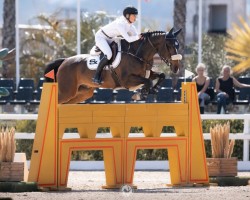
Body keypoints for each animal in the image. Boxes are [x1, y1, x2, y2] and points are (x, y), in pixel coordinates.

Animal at [44, 27, 182, 104]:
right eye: (169, 46)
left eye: (178, 45)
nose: (176, 68)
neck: (138, 54)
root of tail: (64, 61)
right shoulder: (127, 80)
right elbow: (147, 81)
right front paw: (141, 93)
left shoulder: (147, 73)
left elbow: (161, 75)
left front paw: (153, 89)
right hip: (67, 92)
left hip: (83, 93)